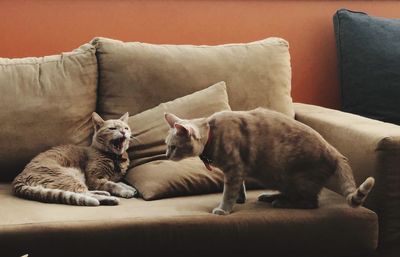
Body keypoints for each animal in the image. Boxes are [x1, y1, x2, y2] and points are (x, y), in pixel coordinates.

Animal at [163, 107, 376, 214]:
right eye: (166, 145)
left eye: (173, 147)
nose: (165, 155)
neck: (212, 133)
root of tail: (335, 151)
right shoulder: (237, 171)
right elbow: (239, 188)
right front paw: (240, 199)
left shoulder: (234, 169)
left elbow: (228, 193)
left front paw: (223, 209)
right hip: (286, 180)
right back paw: (271, 197)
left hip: (298, 179)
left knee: (310, 203)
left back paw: (280, 203)